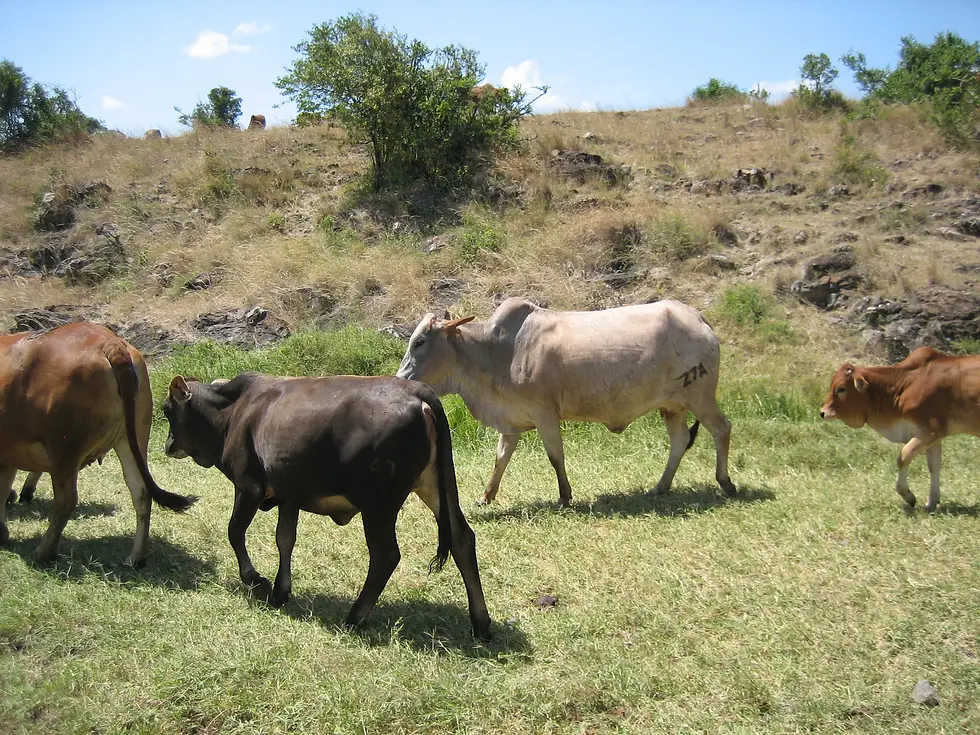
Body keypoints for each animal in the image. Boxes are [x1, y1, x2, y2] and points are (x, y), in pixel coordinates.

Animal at [0, 323, 196, 565]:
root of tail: (109, 342)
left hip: (66, 448)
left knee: (66, 499)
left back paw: (44, 552)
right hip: (132, 439)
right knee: (141, 492)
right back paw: (136, 557)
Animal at [161, 373, 492, 638]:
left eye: (167, 410)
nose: (168, 445)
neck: (233, 412)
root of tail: (417, 392)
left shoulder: (248, 487)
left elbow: (234, 532)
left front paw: (257, 581)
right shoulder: (289, 495)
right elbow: (285, 539)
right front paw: (280, 590)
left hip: (378, 505)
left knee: (385, 556)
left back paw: (355, 617)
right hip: (436, 486)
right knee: (462, 539)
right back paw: (481, 621)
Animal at [396, 298, 737, 507]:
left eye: (420, 341)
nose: (401, 378)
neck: (495, 351)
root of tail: (697, 316)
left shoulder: (545, 413)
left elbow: (554, 456)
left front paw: (564, 495)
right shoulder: (512, 420)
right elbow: (501, 458)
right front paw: (486, 495)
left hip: (700, 396)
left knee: (722, 429)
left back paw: (726, 482)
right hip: (674, 406)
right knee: (679, 441)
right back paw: (660, 486)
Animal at [819, 346, 980, 511]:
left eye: (841, 389)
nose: (822, 412)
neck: (905, 385)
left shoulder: (929, 432)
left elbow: (903, 457)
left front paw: (909, 496)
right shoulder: (933, 437)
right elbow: (934, 466)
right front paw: (931, 502)